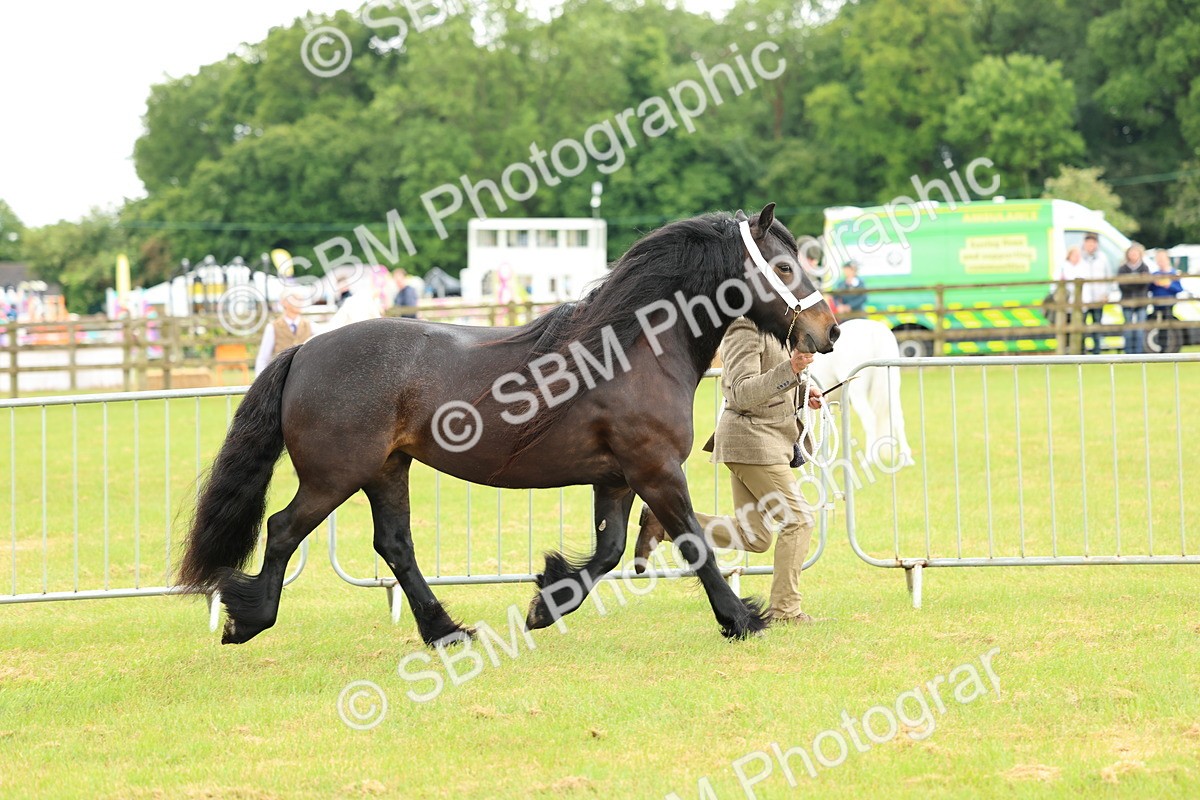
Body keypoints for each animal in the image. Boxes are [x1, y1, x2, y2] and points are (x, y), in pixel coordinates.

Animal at [178, 204, 840, 645]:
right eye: (784, 266)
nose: (828, 332)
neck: (635, 349)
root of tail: (305, 351)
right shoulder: (654, 470)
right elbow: (693, 544)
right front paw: (742, 619)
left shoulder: (617, 477)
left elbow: (609, 551)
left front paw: (546, 602)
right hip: (335, 476)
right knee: (284, 529)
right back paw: (248, 619)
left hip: (387, 470)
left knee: (395, 545)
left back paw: (445, 631)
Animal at [809, 318, 913, 469]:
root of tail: (873, 330)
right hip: (892, 388)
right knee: (898, 418)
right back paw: (906, 458)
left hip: (857, 393)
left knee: (870, 419)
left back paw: (869, 459)